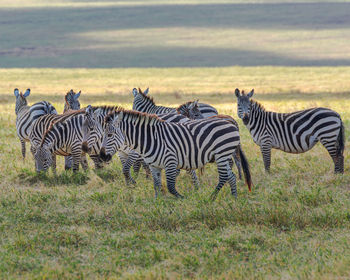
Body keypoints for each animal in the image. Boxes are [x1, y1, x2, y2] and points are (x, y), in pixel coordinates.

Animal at [98, 109, 252, 199]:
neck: (150, 139)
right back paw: (233, 197)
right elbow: (156, 185)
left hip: (221, 154)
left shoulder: (170, 161)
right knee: (231, 176)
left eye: (109, 135)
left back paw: (211, 197)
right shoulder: (154, 166)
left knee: (224, 176)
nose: (102, 156)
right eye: (103, 135)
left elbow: (171, 187)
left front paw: (183, 199)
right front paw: (157, 202)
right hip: (224, 156)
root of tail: (230, 121)